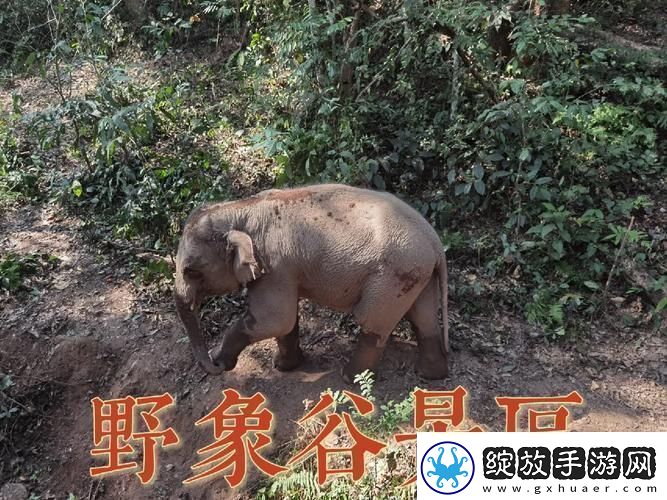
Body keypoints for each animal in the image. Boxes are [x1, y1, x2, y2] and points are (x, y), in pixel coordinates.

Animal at [174, 184, 450, 382]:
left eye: (191, 272)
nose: (214, 363)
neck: (241, 209)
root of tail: (436, 242)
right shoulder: (282, 270)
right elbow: (285, 322)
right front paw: (283, 367)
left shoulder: (274, 265)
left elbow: (273, 319)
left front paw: (225, 360)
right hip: (417, 273)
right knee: (423, 319)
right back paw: (430, 376)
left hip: (393, 275)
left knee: (371, 321)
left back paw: (349, 378)